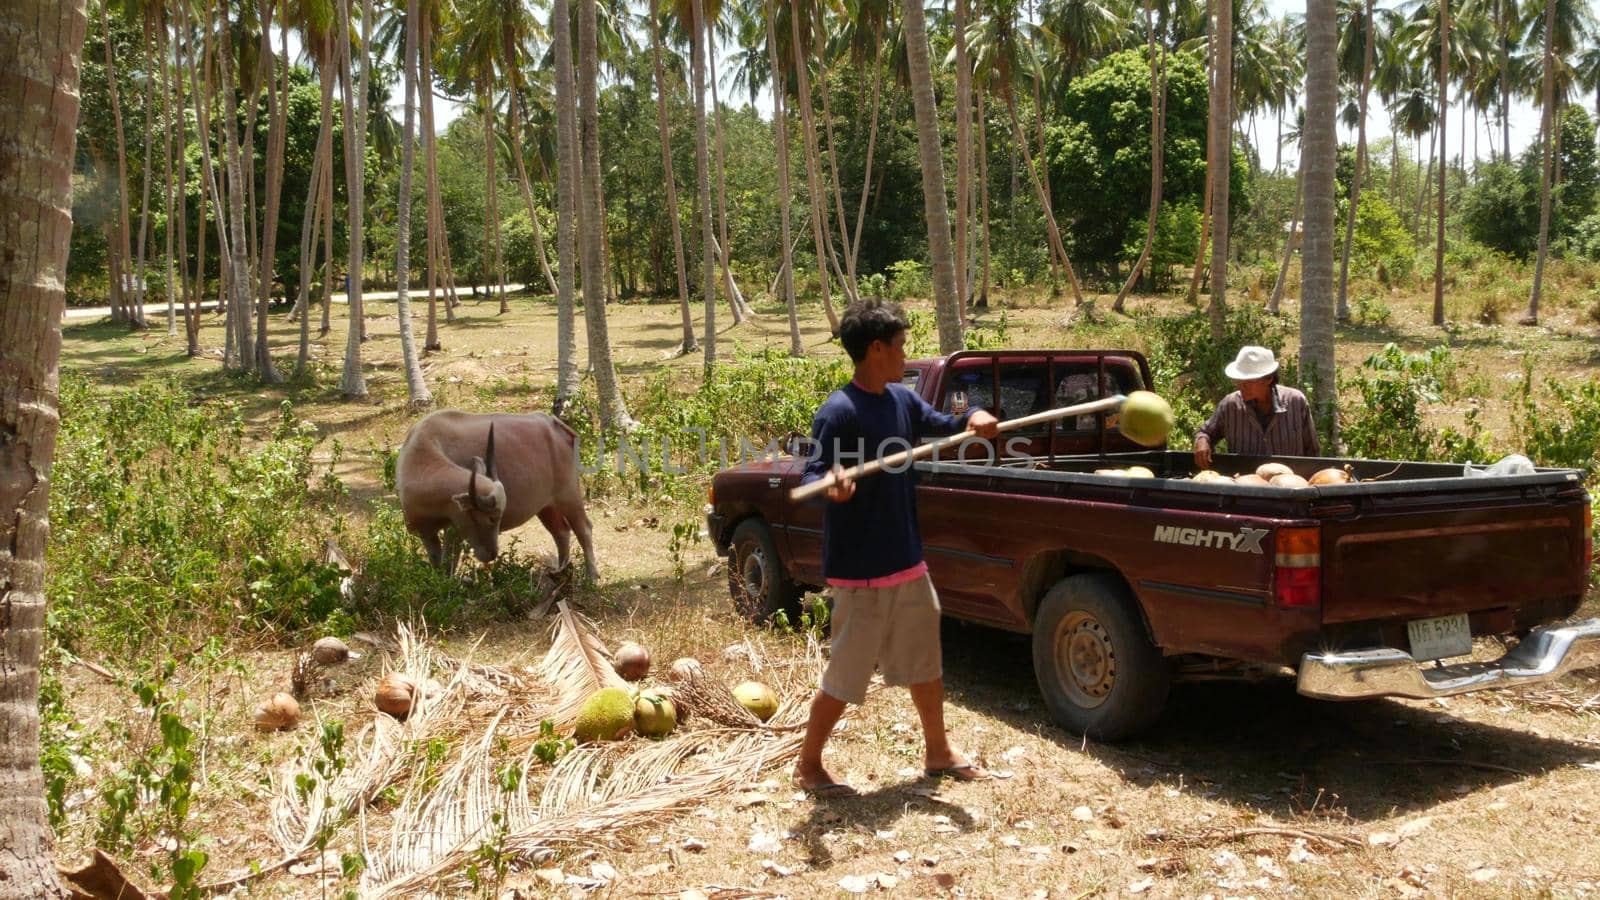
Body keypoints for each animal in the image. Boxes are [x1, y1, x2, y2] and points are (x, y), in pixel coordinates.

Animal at [395, 409, 601, 576]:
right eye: (492, 518)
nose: (492, 554)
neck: (421, 460)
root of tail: (554, 424)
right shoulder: (426, 532)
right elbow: (437, 563)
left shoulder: (455, 530)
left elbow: (449, 564)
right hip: (546, 505)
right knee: (561, 531)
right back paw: (562, 570)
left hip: (569, 494)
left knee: (584, 529)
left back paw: (591, 576)